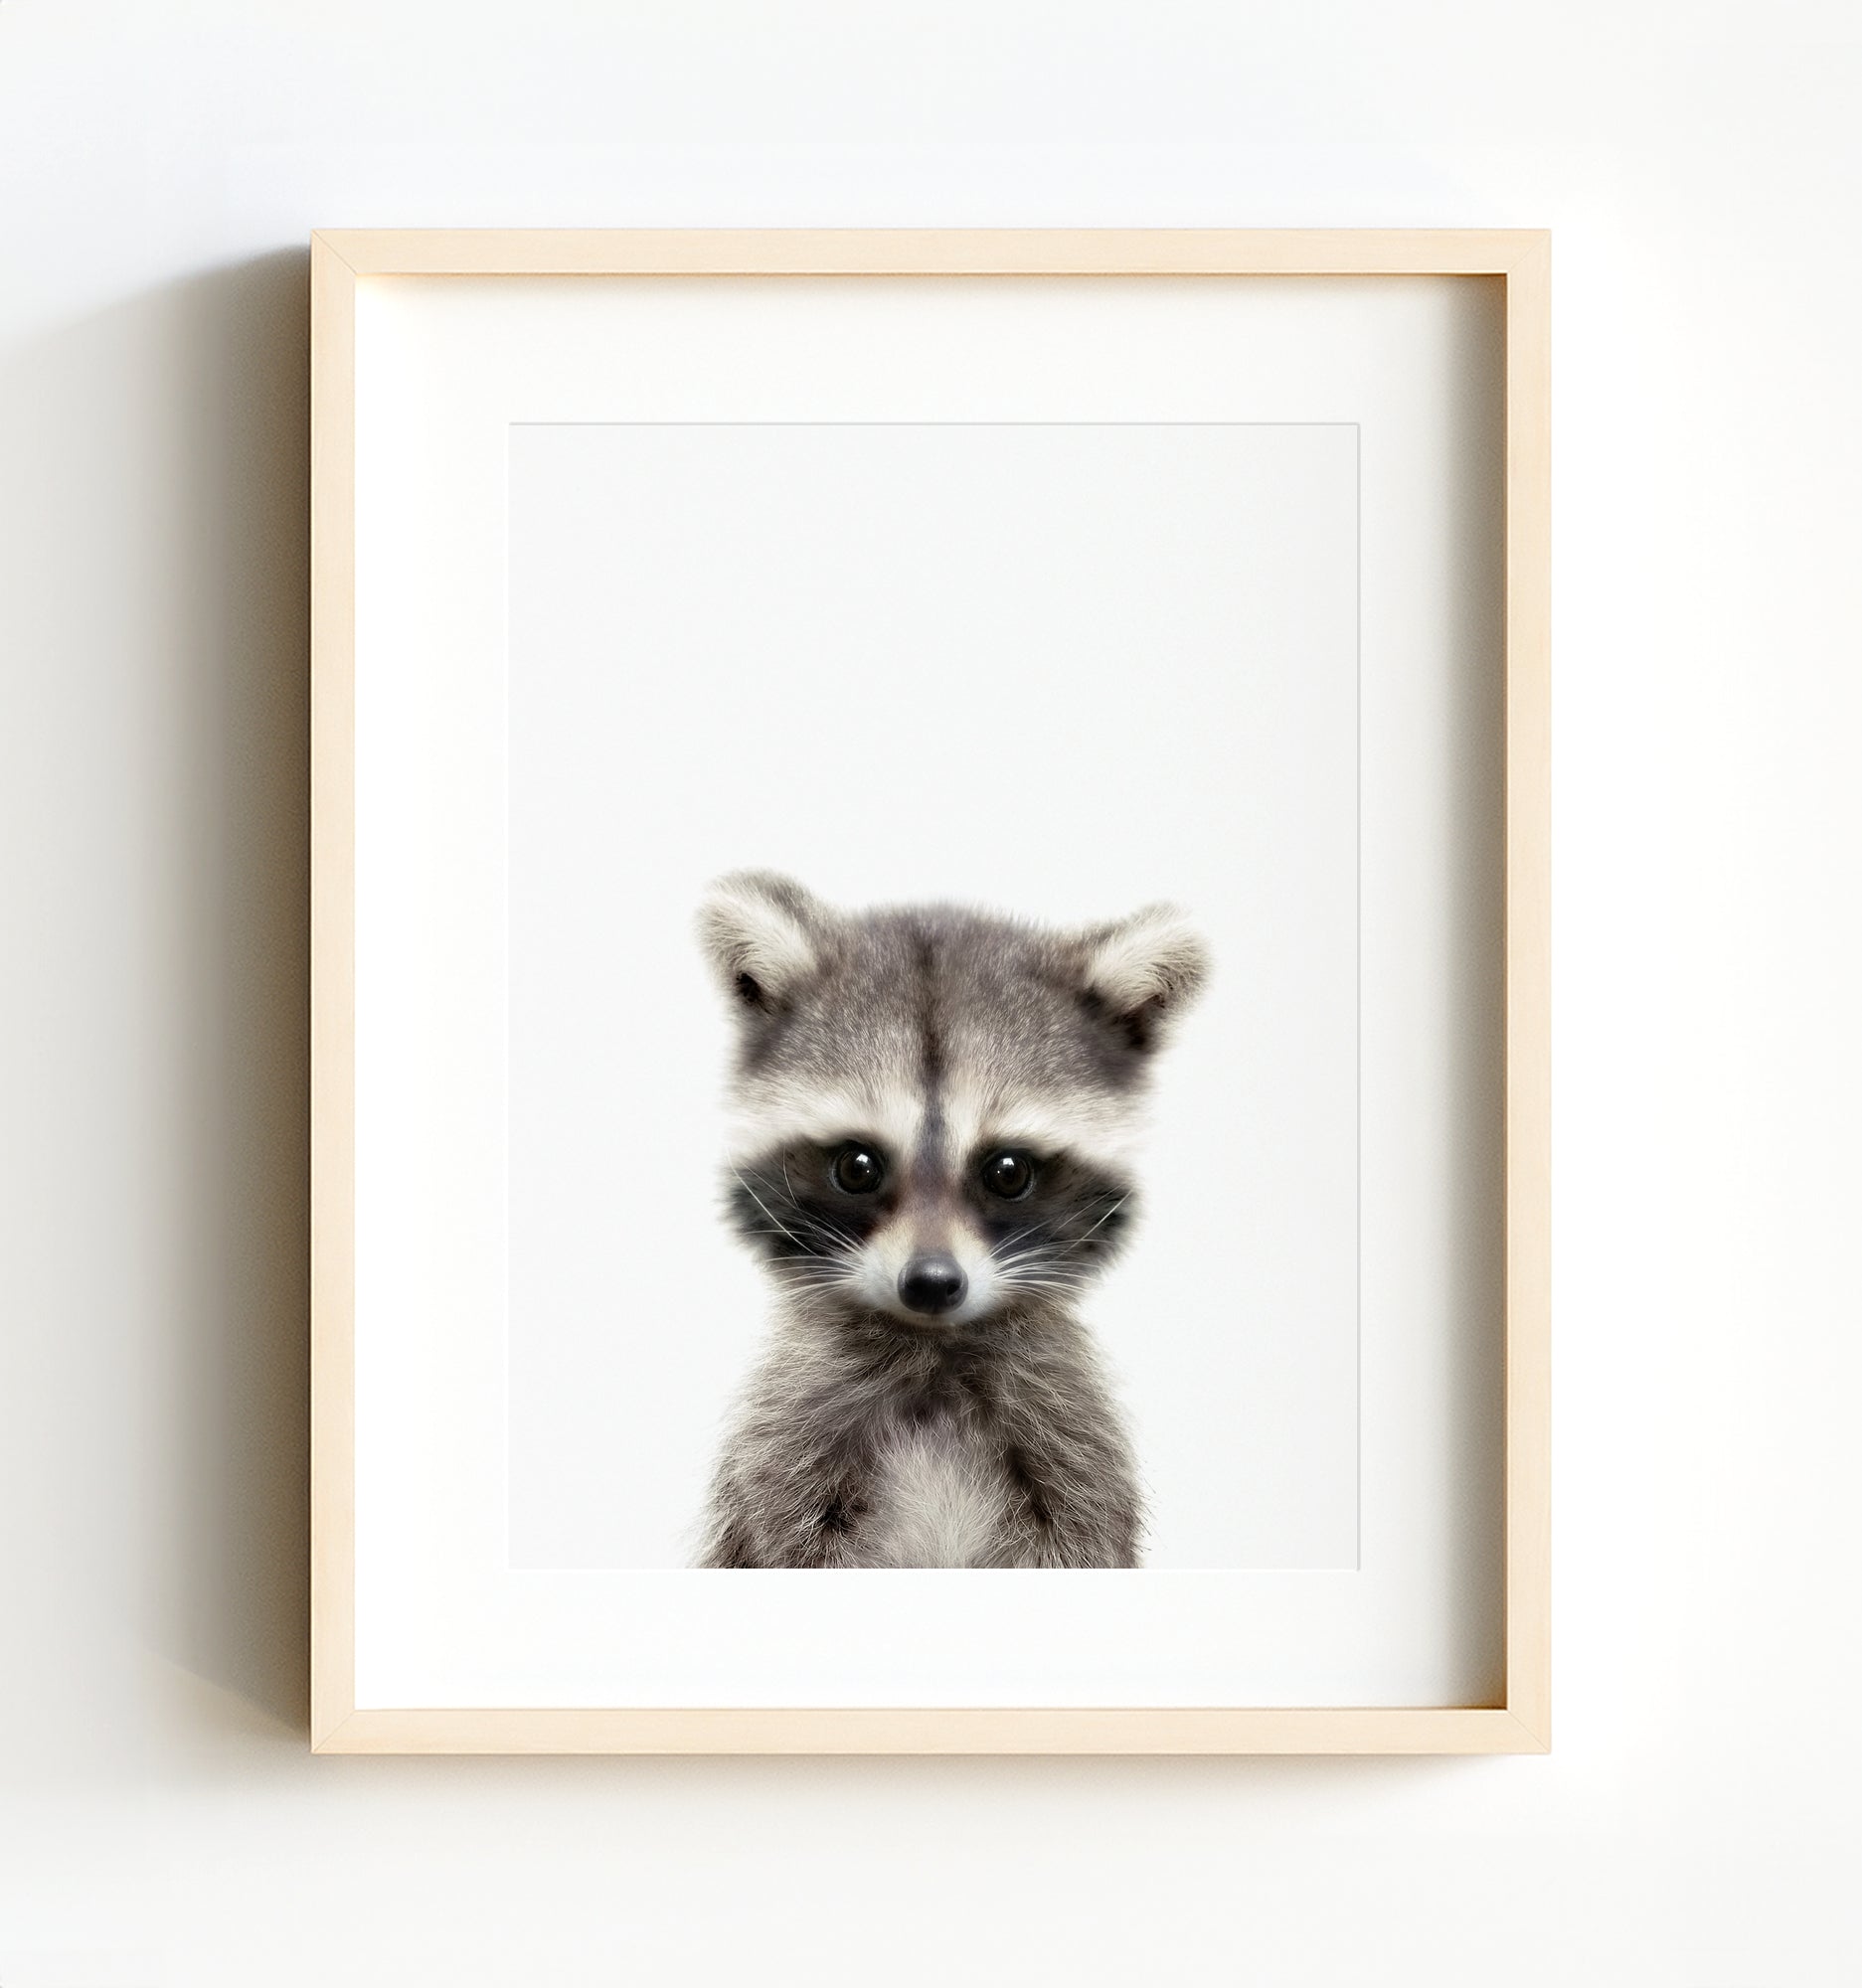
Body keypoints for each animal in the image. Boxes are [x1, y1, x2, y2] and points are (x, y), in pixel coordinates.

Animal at [695, 871, 1208, 1569]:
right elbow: (780, 1536)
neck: (935, 1350)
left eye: (1008, 1171)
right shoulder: (790, 1431)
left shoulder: (1070, 1431)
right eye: (858, 1167)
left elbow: (1086, 1532)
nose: (931, 1284)